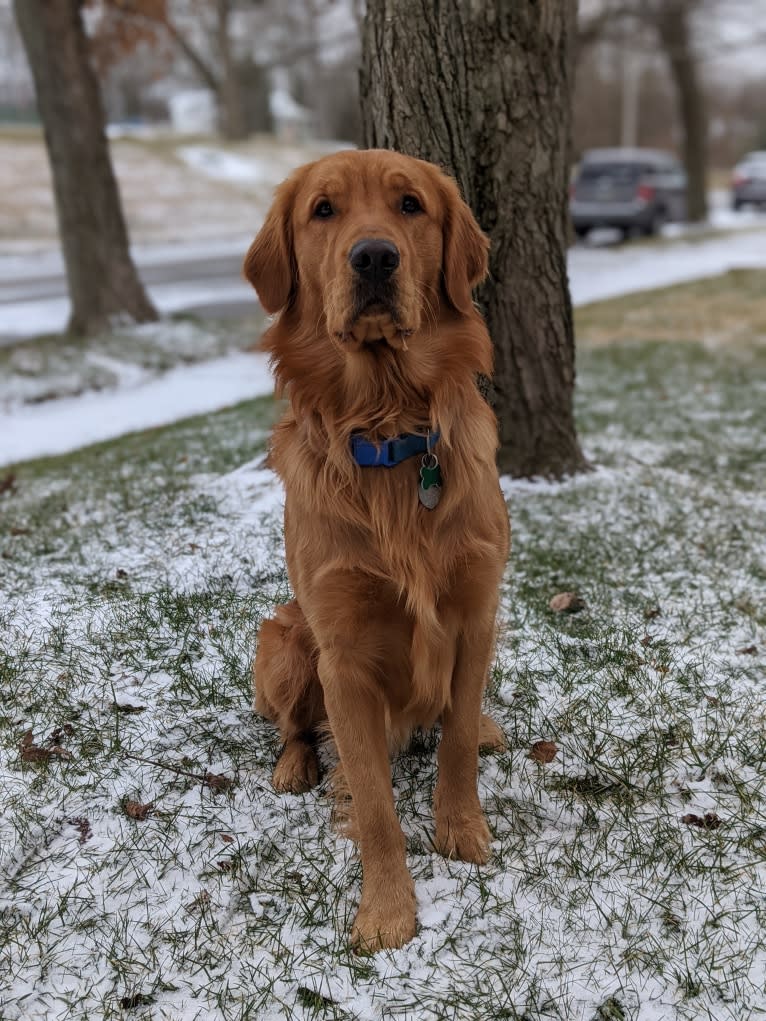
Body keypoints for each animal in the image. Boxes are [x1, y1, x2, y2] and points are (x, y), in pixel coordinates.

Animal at [246, 148, 510, 951]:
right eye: (323, 210)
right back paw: (294, 765)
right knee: (293, 726)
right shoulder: (343, 656)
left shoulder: (477, 612)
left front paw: (462, 829)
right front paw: (387, 909)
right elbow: (372, 803)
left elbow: (456, 739)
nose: (373, 257)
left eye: (410, 205)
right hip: (284, 637)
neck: (390, 427)